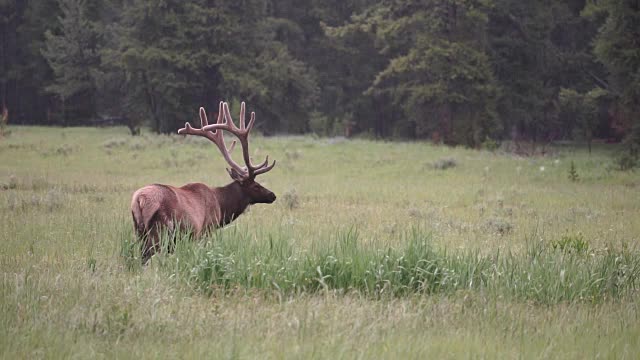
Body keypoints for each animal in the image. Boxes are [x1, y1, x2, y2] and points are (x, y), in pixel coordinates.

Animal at [131, 101, 276, 262]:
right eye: (255, 186)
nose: (272, 195)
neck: (221, 207)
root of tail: (139, 200)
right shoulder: (206, 230)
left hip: (139, 231)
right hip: (160, 230)